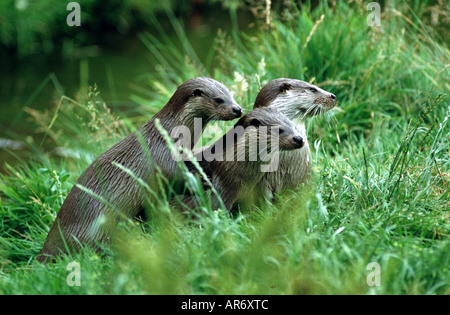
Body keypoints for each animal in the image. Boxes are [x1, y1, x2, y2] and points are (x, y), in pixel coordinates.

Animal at [37, 78, 243, 262]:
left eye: (231, 95)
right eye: (218, 99)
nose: (238, 109)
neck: (170, 135)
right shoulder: (165, 160)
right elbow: (178, 179)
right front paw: (202, 180)